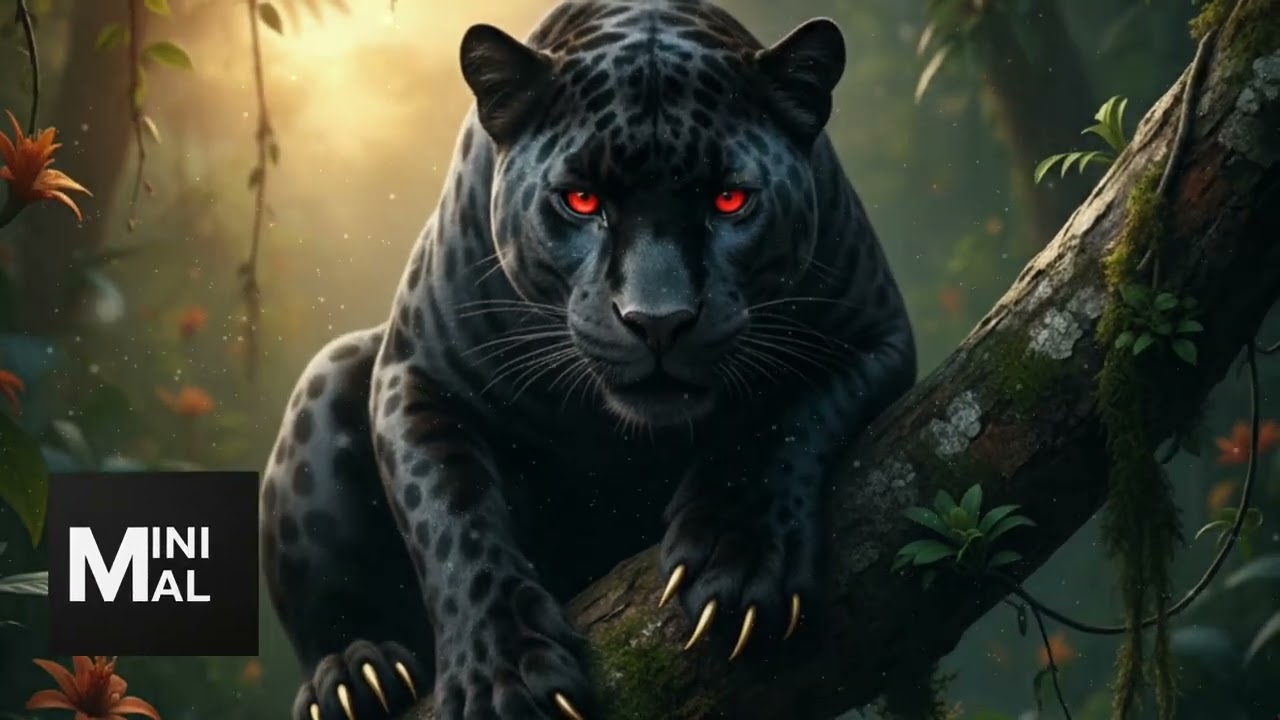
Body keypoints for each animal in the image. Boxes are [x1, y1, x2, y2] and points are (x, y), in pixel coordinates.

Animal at [258, 1, 917, 719]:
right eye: (580, 200)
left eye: (730, 200)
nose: (658, 320)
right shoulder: (416, 375)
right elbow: (451, 518)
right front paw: (501, 675)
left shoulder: (874, 335)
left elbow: (781, 417)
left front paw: (736, 559)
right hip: (332, 371)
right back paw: (356, 677)